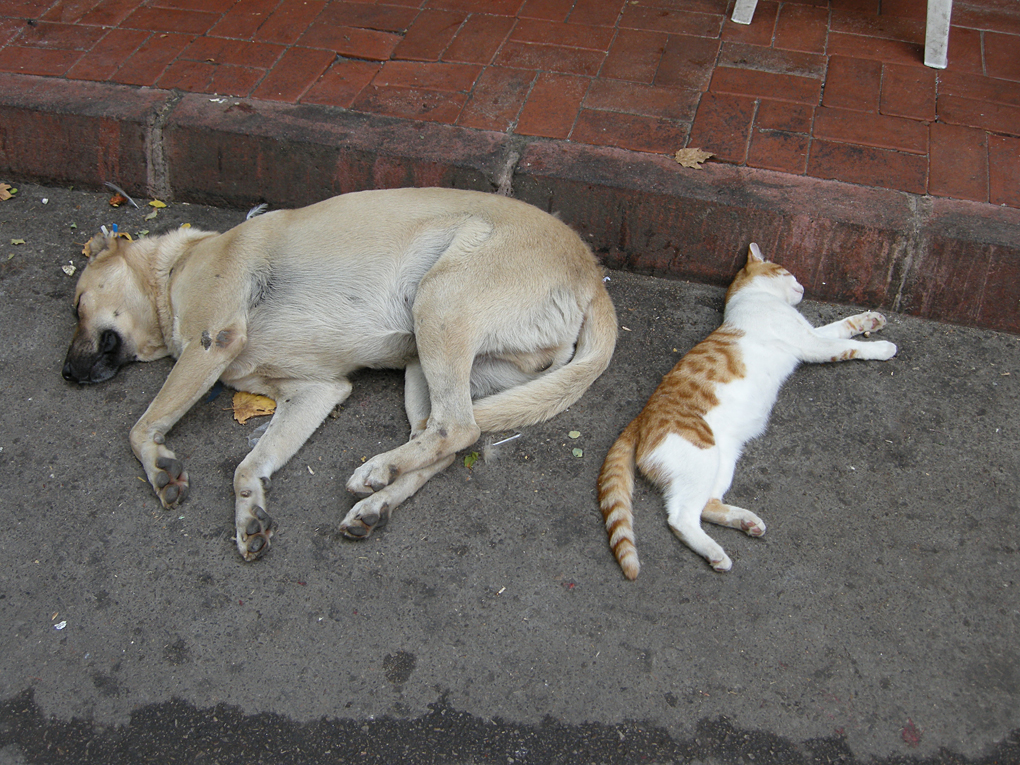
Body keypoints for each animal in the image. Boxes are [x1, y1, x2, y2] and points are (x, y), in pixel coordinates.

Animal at [65, 190, 620, 563]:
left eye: (75, 306)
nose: (67, 374)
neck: (176, 267)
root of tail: (593, 276)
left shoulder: (209, 344)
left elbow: (141, 427)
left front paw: (160, 467)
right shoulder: (315, 392)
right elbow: (248, 468)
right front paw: (249, 517)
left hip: (440, 302)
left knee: (458, 428)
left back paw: (374, 472)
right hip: (424, 364)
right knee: (446, 438)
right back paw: (377, 503)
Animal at [599, 242, 897, 579]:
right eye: (787, 271)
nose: (803, 285)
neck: (749, 298)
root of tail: (640, 419)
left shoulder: (811, 333)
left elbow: (841, 326)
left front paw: (870, 321)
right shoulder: (811, 343)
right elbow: (849, 347)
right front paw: (883, 347)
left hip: (722, 460)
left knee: (706, 505)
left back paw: (745, 521)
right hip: (701, 455)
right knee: (680, 517)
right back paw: (717, 553)